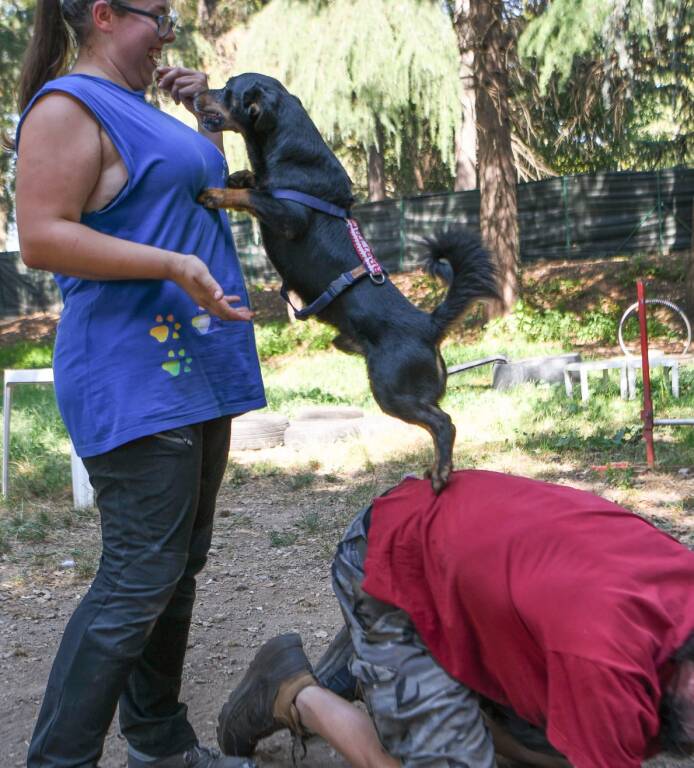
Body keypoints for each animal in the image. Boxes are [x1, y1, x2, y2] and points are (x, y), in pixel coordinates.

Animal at [196, 73, 500, 492]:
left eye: (227, 90)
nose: (197, 93)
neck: (286, 152)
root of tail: (429, 324)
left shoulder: (288, 216)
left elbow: (250, 196)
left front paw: (217, 191)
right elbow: (253, 184)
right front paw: (241, 174)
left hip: (391, 389)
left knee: (444, 424)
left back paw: (440, 474)